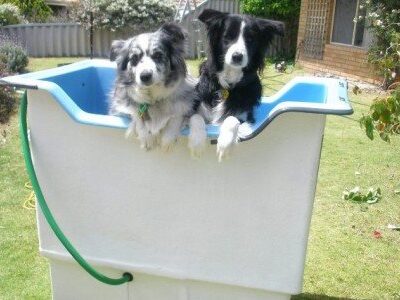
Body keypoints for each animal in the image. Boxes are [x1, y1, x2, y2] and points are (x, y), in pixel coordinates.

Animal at [108, 23, 202, 152]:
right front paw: (146, 136)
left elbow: (176, 116)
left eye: (158, 55)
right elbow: (135, 114)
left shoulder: (183, 107)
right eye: (134, 58)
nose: (145, 76)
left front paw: (167, 139)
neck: (153, 98)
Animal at [193, 9, 284, 161]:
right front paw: (197, 143)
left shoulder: (246, 116)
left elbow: (231, 118)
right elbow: (196, 117)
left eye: (250, 40)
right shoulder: (199, 107)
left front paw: (224, 144)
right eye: (228, 37)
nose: (237, 56)